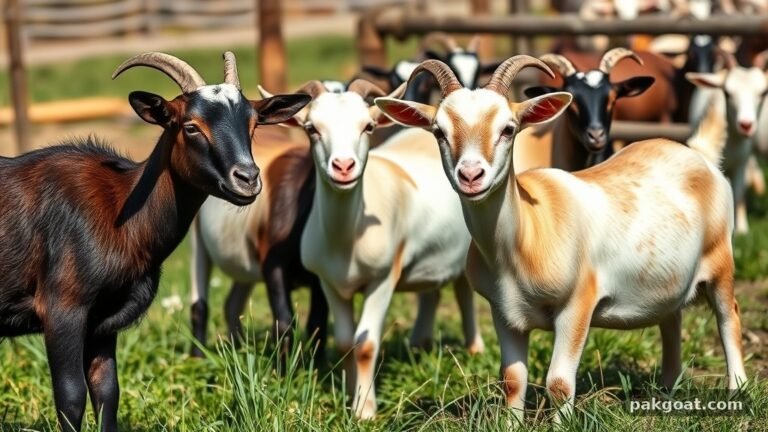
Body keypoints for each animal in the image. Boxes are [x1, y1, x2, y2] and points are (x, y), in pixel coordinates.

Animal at [0, 52, 310, 431]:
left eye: (253, 125)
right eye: (190, 126)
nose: (248, 179)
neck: (119, 211)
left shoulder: (102, 322)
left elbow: (107, 393)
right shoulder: (62, 308)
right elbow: (71, 398)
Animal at [190, 126, 328, 360]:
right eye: (312, 129)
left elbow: (318, 325)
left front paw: (319, 368)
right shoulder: (273, 265)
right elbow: (284, 323)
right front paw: (282, 369)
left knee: (232, 305)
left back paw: (238, 350)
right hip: (197, 239)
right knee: (199, 305)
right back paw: (197, 360)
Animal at [260, 79, 485, 419]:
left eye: (368, 126)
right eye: (311, 128)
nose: (343, 166)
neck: (347, 240)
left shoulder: (383, 279)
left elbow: (365, 345)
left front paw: (365, 410)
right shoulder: (329, 283)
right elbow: (344, 343)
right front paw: (350, 396)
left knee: (464, 294)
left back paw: (475, 349)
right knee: (432, 293)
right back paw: (419, 344)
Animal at [687, 50, 768, 233]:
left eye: (763, 93)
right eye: (728, 93)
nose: (746, 125)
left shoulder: (741, 161)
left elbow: (739, 193)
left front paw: (742, 229)